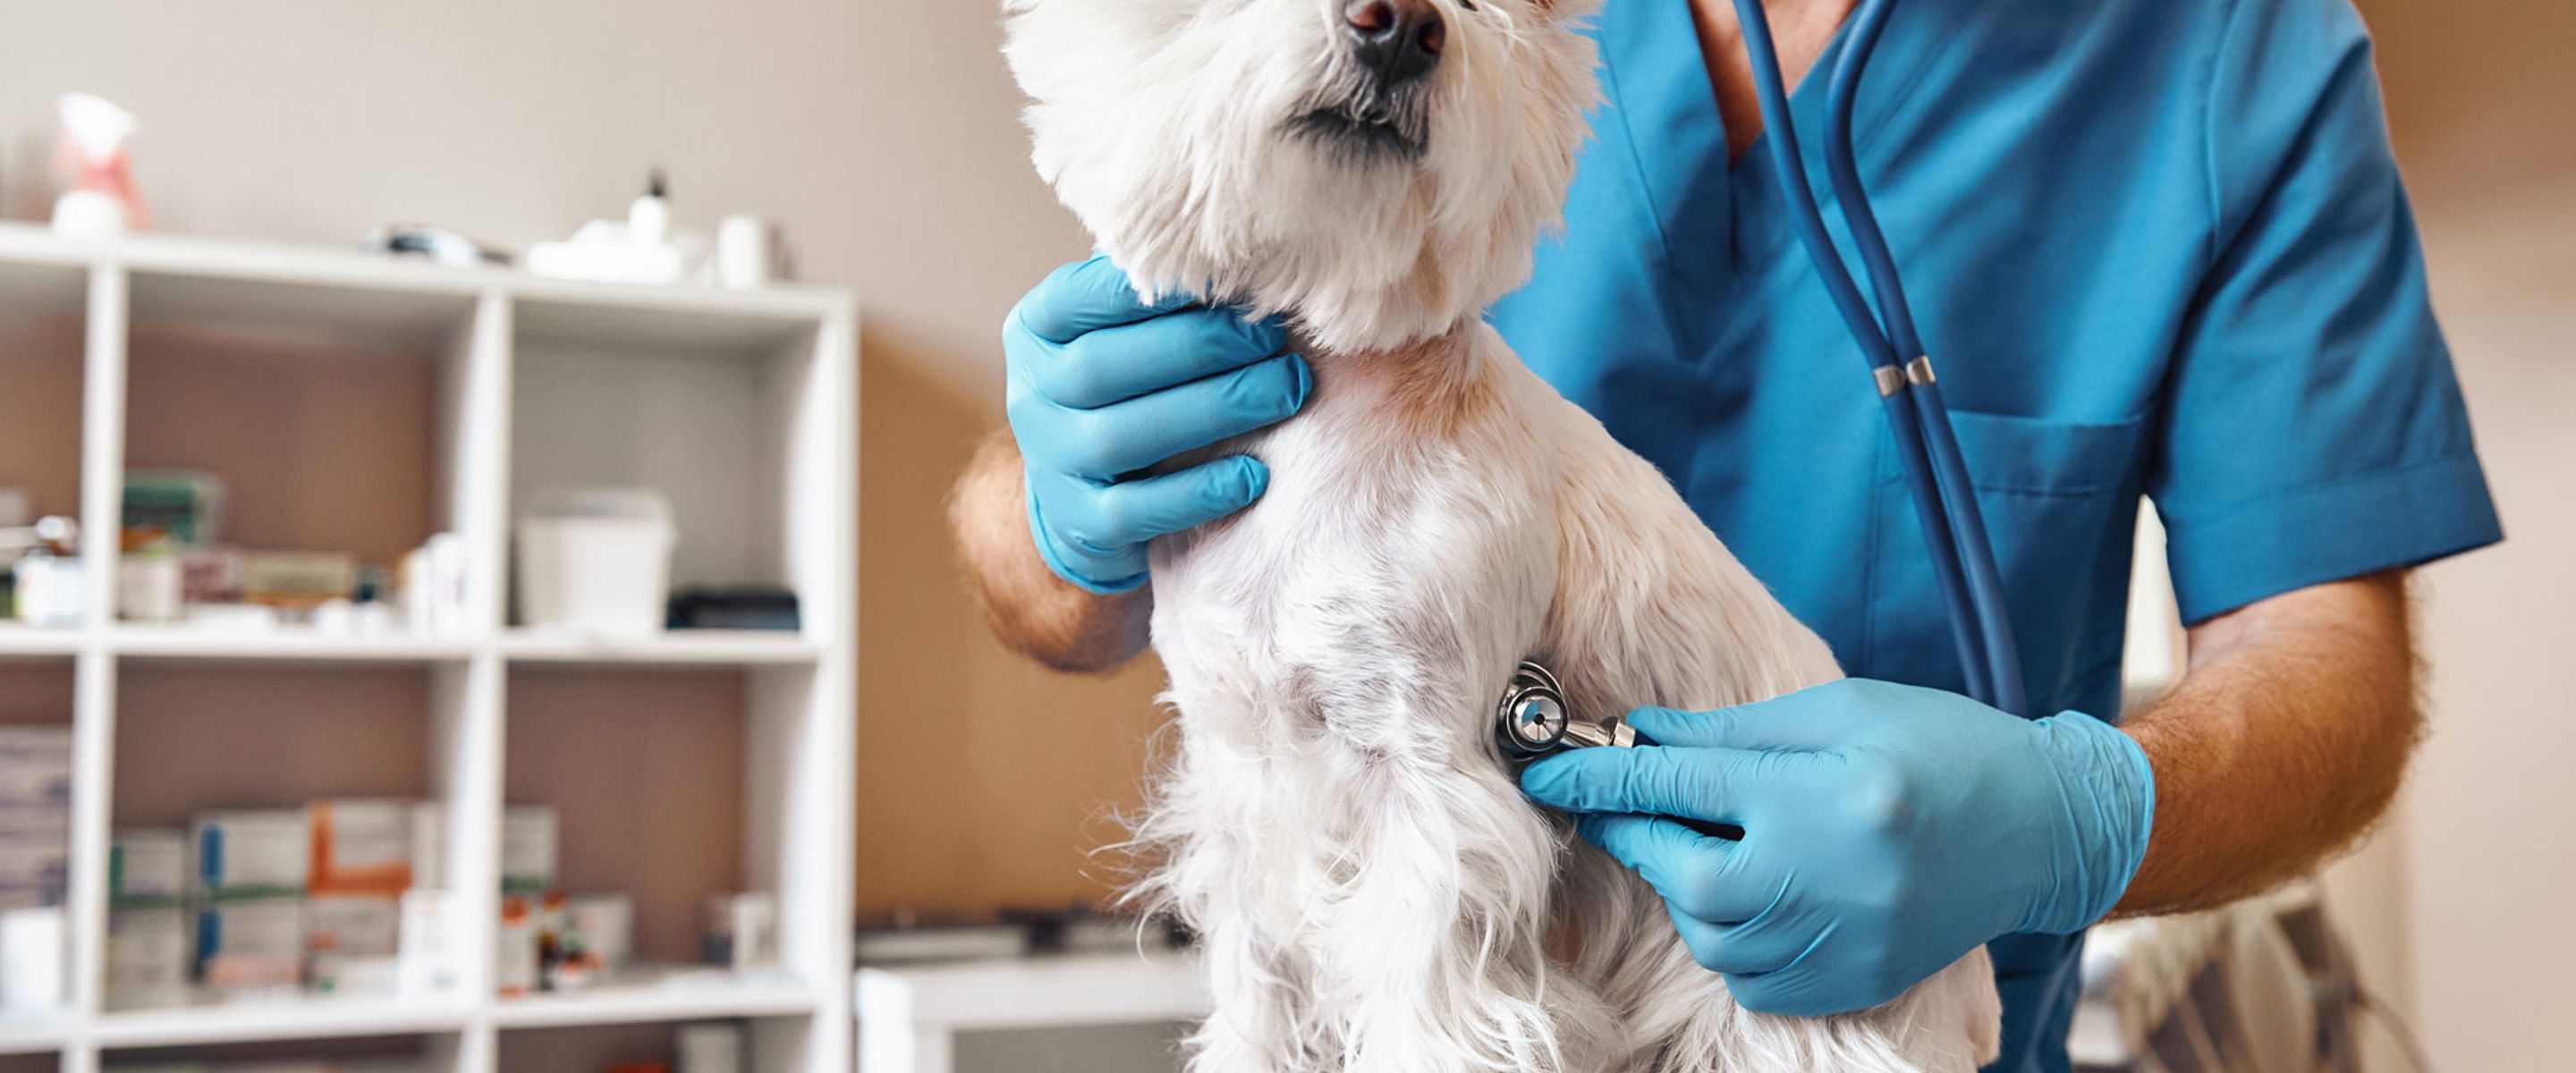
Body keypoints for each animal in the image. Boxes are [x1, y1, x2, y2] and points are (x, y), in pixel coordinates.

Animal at [1004, 2, 2009, 1070]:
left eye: (1483, 10)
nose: (1399, 25)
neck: (1313, 427)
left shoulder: (1432, 791)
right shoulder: (1243, 788)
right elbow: (1261, 1007)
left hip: (1799, 1015)